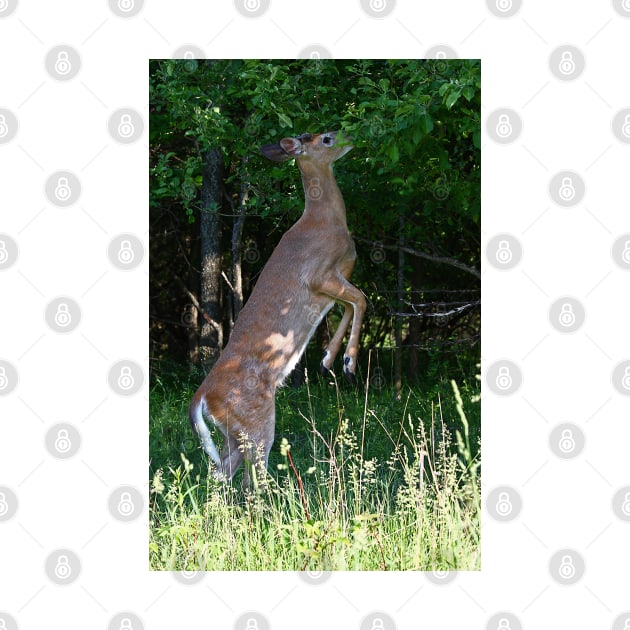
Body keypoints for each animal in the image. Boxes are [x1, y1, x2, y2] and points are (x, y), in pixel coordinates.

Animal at [188, 131, 366, 492]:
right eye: (327, 138)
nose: (351, 136)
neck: (326, 220)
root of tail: (202, 396)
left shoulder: (335, 284)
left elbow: (350, 305)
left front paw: (328, 359)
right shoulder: (320, 276)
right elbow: (363, 300)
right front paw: (347, 362)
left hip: (232, 433)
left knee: (220, 474)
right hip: (255, 423)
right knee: (249, 479)